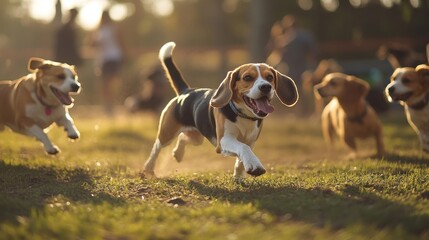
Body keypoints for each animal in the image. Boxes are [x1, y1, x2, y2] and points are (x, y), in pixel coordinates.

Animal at [144, 42, 298, 179]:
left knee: (183, 138)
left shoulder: (251, 141)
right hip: (167, 133)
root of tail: (186, 91)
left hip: (196, 137)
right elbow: (243, 148)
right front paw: (255, 166)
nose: (266, 87)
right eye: (247, 77)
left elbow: (241, 158)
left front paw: (239, 176)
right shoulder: (224, 140)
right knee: (156, 148)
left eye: (270, 77)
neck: (244, 116)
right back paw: (148, 169)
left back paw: (178, 153)